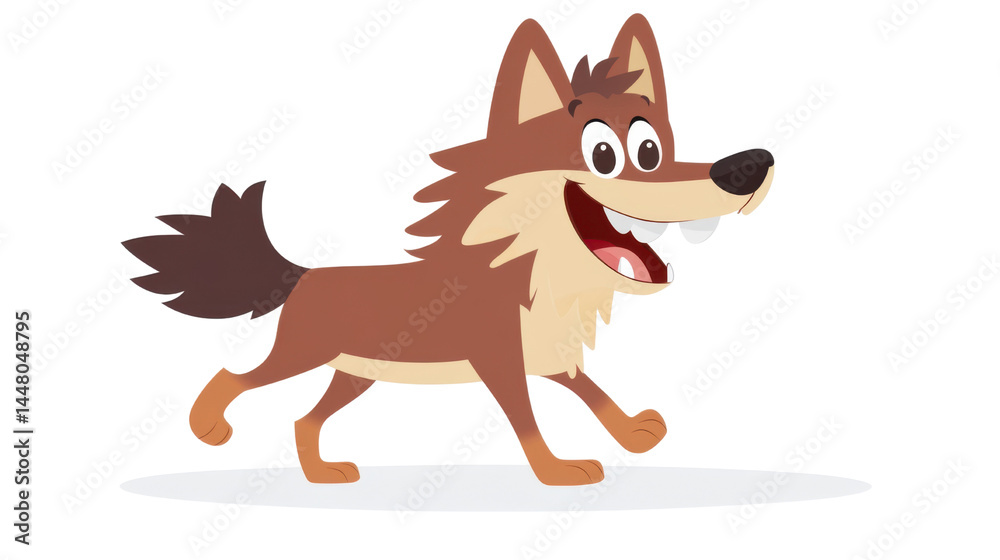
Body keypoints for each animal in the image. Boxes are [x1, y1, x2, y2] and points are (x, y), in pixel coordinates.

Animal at [123, 14, 774, 486]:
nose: (748, 166)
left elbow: (593, 393)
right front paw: (557, 471)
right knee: (240, 376)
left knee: (304, 418)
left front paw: (633, 431)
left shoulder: (548, 355)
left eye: (652, 150)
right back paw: (208, 423)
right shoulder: (501, 362)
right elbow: (527, 421)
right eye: (605, 155)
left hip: (356, 374)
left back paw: (322, 472)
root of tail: (302, 273)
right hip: (305, 354)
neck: (534, 270)